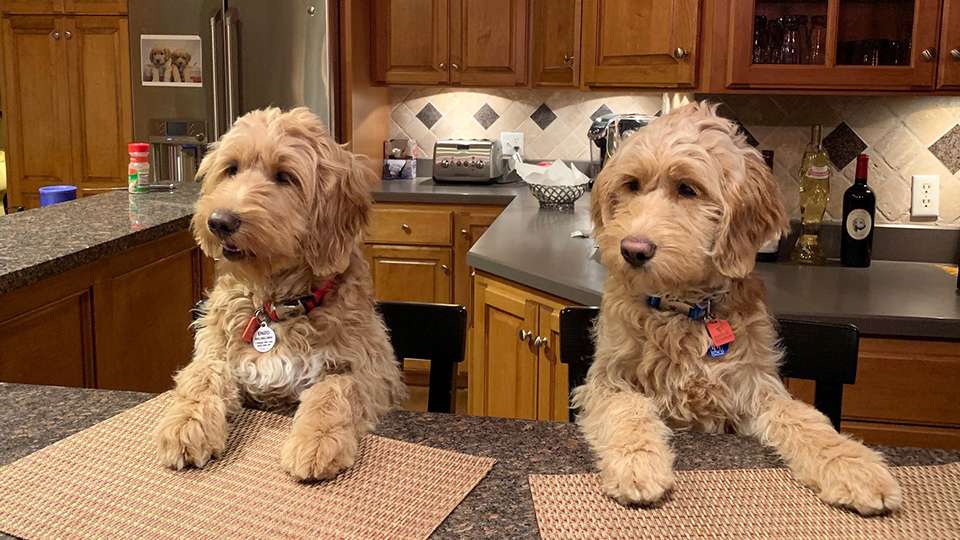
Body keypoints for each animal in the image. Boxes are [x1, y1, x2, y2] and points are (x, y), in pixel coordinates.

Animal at [156, 107, 404, 478]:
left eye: (285, 176)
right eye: (231, 168)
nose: (219, 222)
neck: (274, 307)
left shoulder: (374, 372)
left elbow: (335, 388)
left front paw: (317, 441)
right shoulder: (215, 351)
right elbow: (202, 376)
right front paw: (186, 425)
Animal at [576, 101, 900, 516]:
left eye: (688, 189)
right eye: (632, 184)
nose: (633, 250)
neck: (683, 311)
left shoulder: (756, 387)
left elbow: (803, 416)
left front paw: (854, 466)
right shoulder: (606, 381)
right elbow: (628, 408)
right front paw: (637, 464)